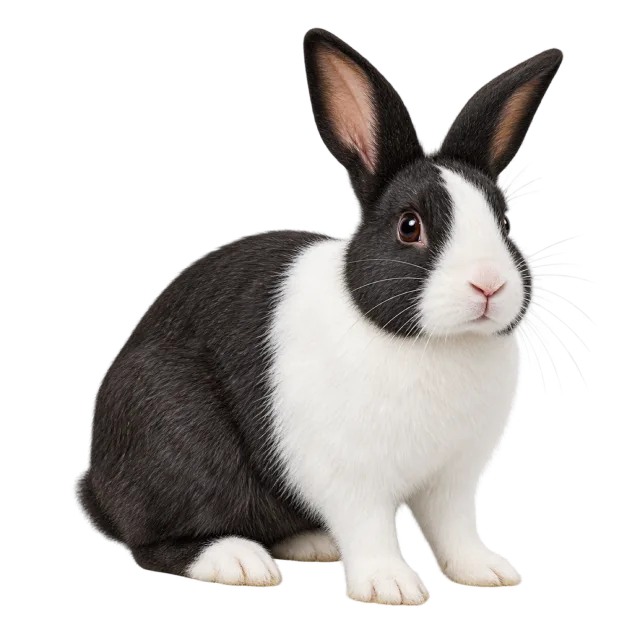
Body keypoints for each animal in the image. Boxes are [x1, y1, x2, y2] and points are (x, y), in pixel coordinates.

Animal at [74, 27, 563, 605]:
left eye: (504, 221)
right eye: (409, 226)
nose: (489, 285)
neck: (436, 344)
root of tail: (96, 484)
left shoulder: (454, 479)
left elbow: (455, 528)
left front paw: (488, 572)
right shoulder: (351, 476)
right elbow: (370, 527)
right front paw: (392, 586)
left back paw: (311, 544)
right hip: (175, 441)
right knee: (155, 543)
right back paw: (238, 562)